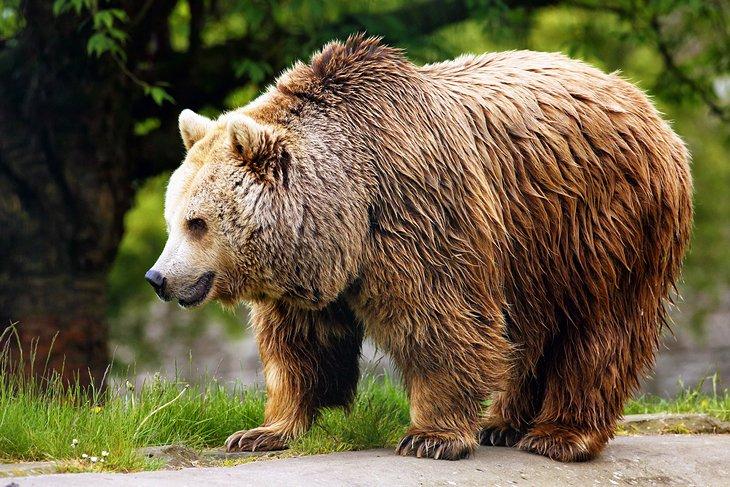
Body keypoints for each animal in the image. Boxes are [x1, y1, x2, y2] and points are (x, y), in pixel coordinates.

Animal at [146, 34, 693, 462]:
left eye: (197, 223)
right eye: (172, 219)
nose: (158, 278)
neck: (348, 210)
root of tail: (648, 106)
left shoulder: (419, 213)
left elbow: (440, 320)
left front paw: (431, 436)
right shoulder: (308, 267)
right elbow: (300, 346)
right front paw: (263, 431)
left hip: (601, 224)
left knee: (600, 328)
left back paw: (560, 435)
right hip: (534, 250)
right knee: (535, 329)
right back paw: (503, 424)